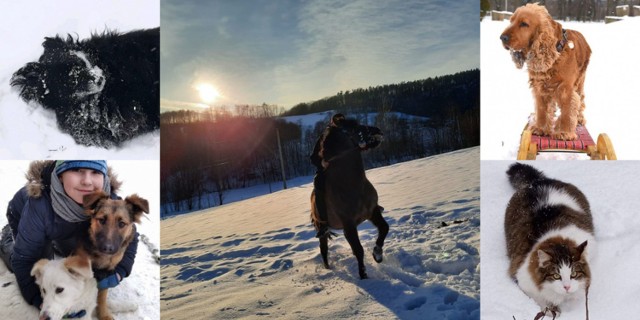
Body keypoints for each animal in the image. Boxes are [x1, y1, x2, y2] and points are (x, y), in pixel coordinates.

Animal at [77, 192, 149, 320]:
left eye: (122, 224)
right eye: (101, 220)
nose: (107, 248)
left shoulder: (106, 273)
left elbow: (102, 297)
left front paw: (103, 314)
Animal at [500, 2, 592, 140]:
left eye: (524, 24)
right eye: (511, 21)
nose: (502, 37)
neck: (555, 53)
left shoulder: (566, 88)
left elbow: (567, 110)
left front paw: (564, 132)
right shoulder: (540, 87)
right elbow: (542, 109)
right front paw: (540, 128)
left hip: (580, 81)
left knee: (581, 100)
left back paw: (579, 119)